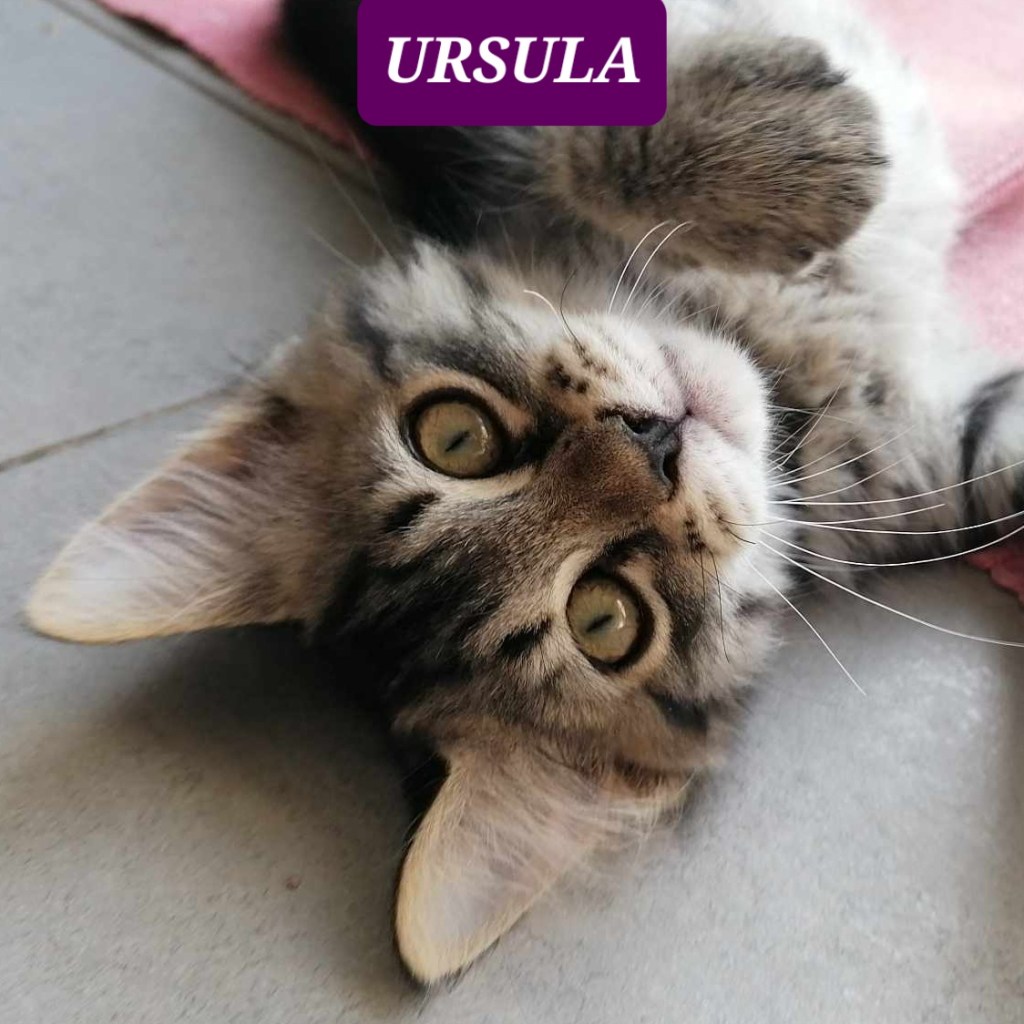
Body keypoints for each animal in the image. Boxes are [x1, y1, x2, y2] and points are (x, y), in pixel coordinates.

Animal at [26, 0, 1024, 985]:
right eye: (608, 620)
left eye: (456, 437)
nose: (656, 444)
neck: (774, 364)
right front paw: (810, 147)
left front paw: (781, 147)